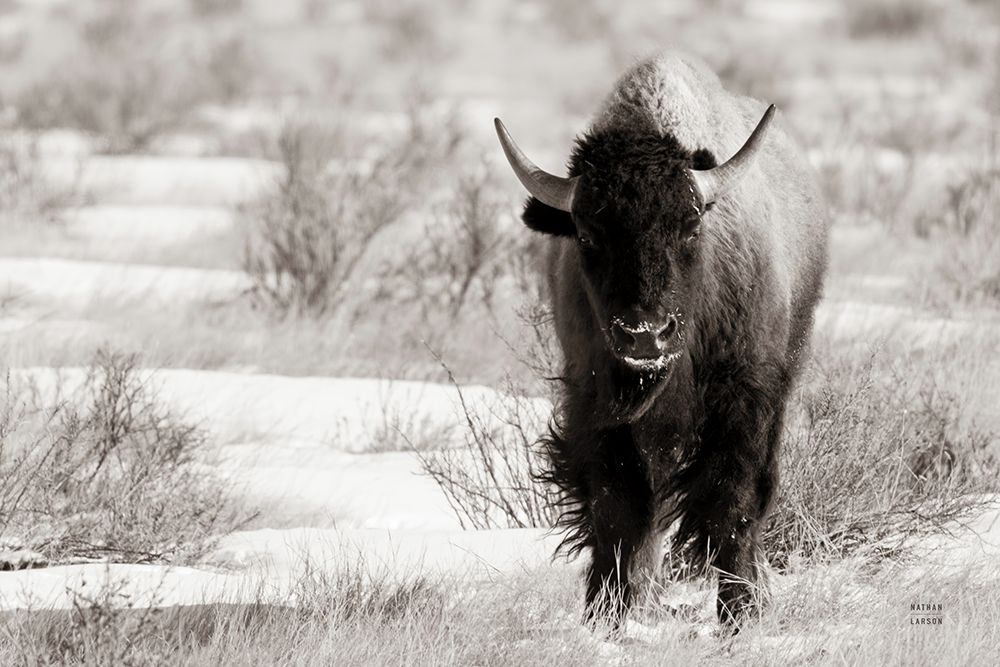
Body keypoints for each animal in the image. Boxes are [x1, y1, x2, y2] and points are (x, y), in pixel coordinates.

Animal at [495, 52, 829, 629]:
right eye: (586, 236)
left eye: (690, 227)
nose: (645, 336)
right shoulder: (595, 407)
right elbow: (617, 511)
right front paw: (605, 615)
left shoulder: (745, 402)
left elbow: (733, 503)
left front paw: (738, 616)